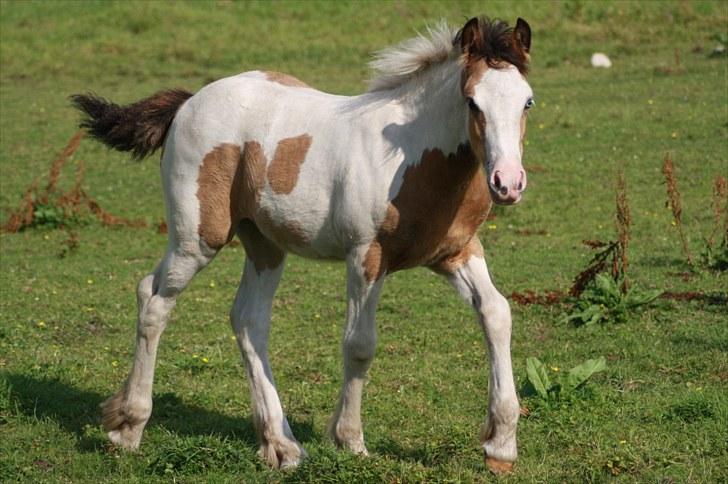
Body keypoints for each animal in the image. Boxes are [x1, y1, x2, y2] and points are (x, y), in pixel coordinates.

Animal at [74, 16, 536, 472]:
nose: (507, 183)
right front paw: (350, 440)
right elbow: (359, 343)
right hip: (197, 239)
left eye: (528, 102)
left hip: (264, 244)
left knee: (243, 318)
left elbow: (497, 313)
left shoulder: (456, 252)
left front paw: (501, 445)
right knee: (155, 301)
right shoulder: (366, 256)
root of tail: (189, 102)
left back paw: (281, 446)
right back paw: (128, 428)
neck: (411, 156)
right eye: (472, 102)